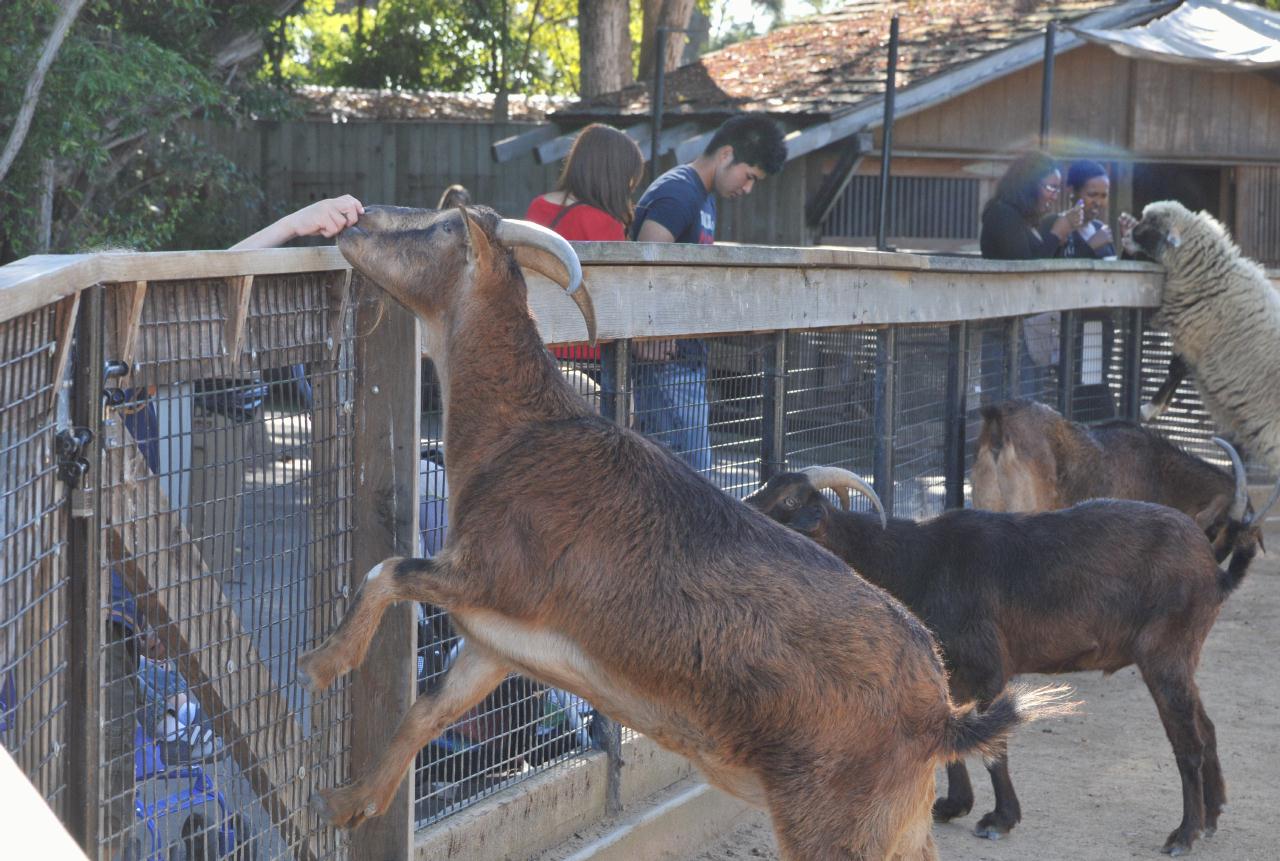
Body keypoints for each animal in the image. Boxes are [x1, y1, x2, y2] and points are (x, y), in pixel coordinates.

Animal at [293, 208, 1070, 859]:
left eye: (440, 225)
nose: (355, 220)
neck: (520, 436)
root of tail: (940, 714)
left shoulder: (494, 574)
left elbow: (389, 570)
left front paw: (322, 663)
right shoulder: (492, 641)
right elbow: (427, 711)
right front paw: (346, 802)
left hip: (833, 822)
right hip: (895, 823)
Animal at [747, 465, 1259, 854]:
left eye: (790, 502)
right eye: (765, 487)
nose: (744, 513)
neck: (914, 559)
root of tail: (1213, 569)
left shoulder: (990, 667)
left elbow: (995, 746)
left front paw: (999, 819)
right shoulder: (950, 669)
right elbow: (951, 737)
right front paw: (952, 806)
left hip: (1163, 656)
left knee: (1188, 741)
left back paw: (1183, 834)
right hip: (1182, 658)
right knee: (1207, 726)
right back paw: (1212, 816)